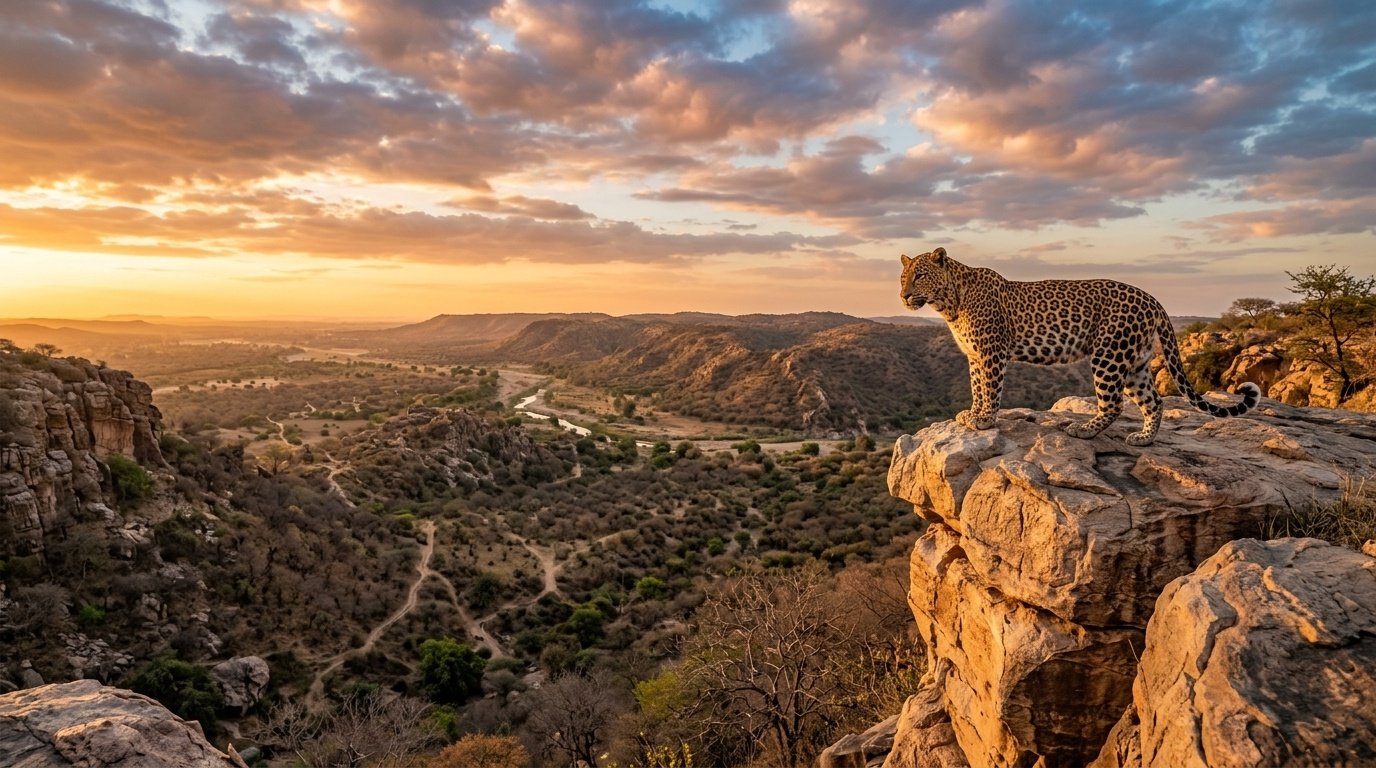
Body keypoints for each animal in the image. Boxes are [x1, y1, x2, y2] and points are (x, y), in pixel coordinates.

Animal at [898, 247, 1260, 446]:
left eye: (921, 275)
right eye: (903, 277)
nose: (903, 296)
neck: (949, 303)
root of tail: (1152, 299)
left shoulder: (991, 352)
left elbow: (990, 388)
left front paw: (985, 419)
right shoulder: (974, 355)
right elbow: (976, 387)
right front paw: (973, 414)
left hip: (1109, 354)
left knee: (1113, 404)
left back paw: (1083, 430)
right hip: (1135, 361)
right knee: (1153, 401)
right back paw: (1144, 439)